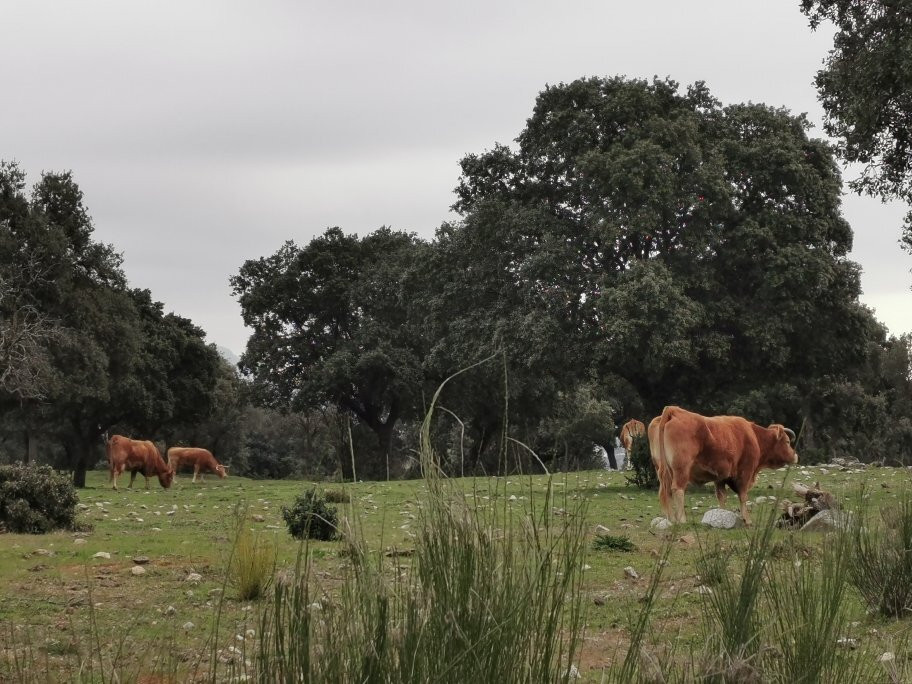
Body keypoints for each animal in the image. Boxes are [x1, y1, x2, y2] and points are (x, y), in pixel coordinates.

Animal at [652, 406, 796, 524]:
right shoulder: (745, 473)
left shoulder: (720, 477)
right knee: (677, 489)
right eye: (787, 442)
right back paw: (681, 519)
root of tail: (674, 410)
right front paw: (747, 519)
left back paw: (670, 518)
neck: (753, 436)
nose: (795, 456)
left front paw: (722, 515)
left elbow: (721, 496)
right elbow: (743, 496)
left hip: (663, 470)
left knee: (665, 491)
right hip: (681, 469)